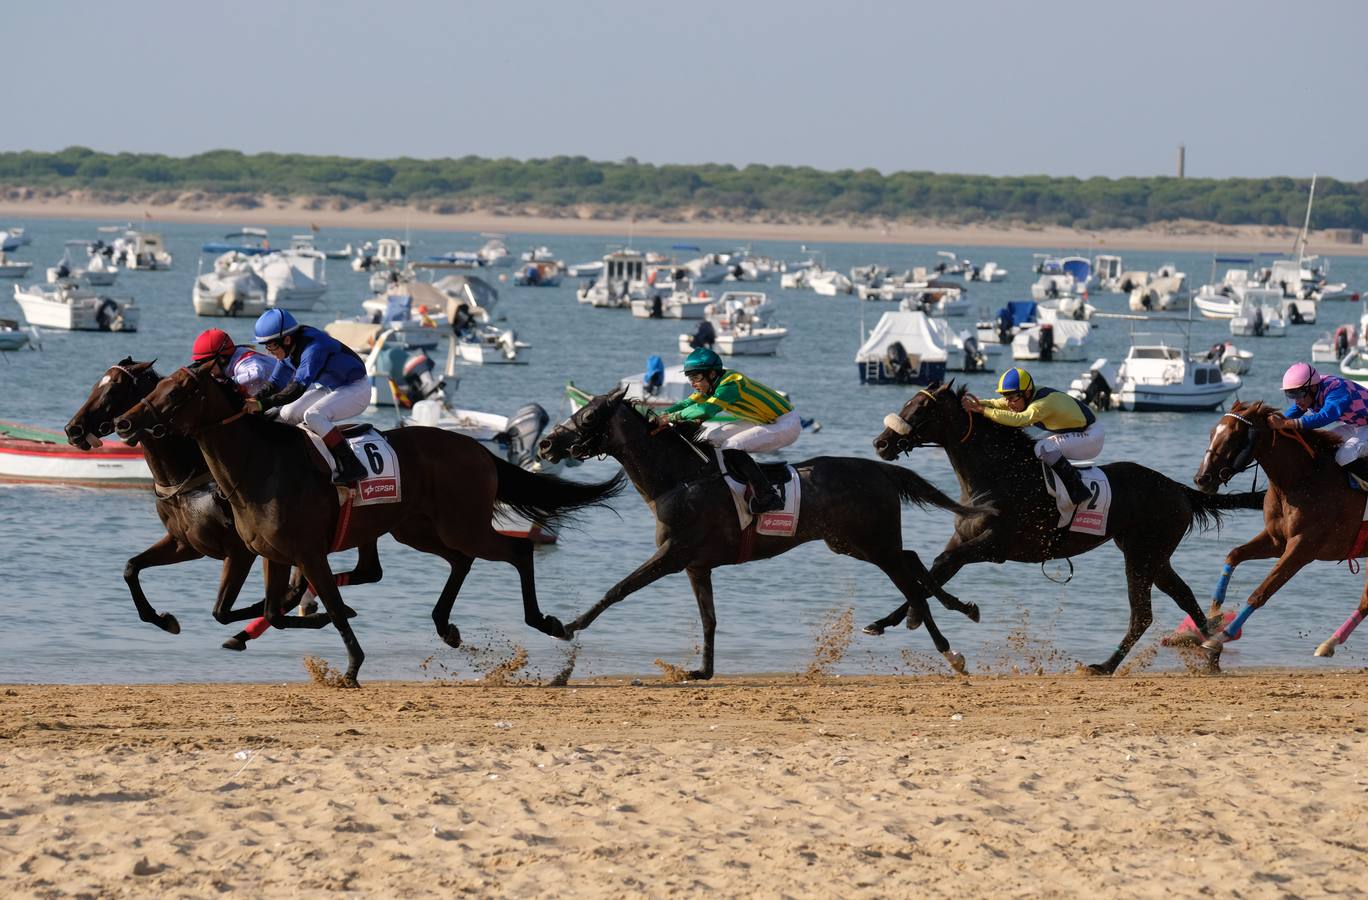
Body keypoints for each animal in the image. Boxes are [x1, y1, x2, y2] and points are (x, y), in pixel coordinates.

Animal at [62, 358, 374, 645]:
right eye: (97, 384)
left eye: (114, 389)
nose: (72, 429)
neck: (190, 476)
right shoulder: (185, 543)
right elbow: (131, 568)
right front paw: (164, 620)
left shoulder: (241, 550)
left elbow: (222, 611)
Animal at [114, 358, 623, 681]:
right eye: (154, 386)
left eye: (179, 391)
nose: (123, 423)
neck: (259, 466)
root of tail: (480, 450)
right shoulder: (270, 554)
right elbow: (276, 612)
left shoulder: (307, 553)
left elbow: (332, 608)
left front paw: (352, 666)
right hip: (415, 527)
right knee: (458, 561)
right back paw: (446, 626)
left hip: (461, 525)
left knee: (516, 549)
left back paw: (546, 622)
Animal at [533, 385, 995, 672]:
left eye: (587, 415)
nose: (546, 444)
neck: (681, 479)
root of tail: (880, 468)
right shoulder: (696, 565)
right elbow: (709, 620)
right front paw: (700, 671)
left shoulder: (672, 555)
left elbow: (619, 589)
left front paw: (565, 626)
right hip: (850, 543)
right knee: (913, 559)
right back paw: (959, 609)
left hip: (871, 543)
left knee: (910, 579)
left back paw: (949, 651)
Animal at [870, 382, 1264, 670]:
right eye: (908, 403)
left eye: (921, 409)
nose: (881, 442)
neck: (999, 477)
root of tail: (1178, 488)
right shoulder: (961, 543)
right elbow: (932, 572)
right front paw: (885, 622)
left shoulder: (994, 546)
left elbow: (934, 571)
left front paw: (947, 613)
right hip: (1153, 556)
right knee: (1182, 596)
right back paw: (1210, 650)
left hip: (1141, 556)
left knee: (1142, 615)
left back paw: (1105, 666)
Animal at [1192, 399, 1368, 659]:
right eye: (1212, 432)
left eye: (1233, 437)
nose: (1202, 479)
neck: (1304, 479)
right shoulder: (1277, 540)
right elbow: (1234, 554)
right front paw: (1214, 612)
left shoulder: (1302, 548)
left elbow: (1261, 592)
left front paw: (1220, 637)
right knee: (1365, 602)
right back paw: (1329, 643)